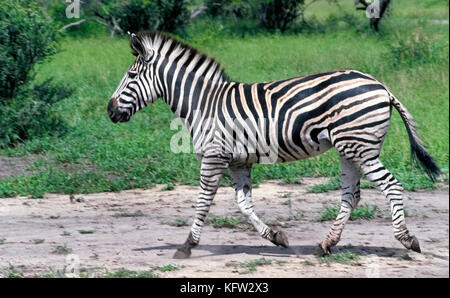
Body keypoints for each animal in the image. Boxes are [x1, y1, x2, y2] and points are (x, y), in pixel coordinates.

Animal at [108, 30, 440, 258]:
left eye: (131, 76)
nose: (110, 111)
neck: (203, 103)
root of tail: (381, 86)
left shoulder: (214, 156)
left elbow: (203, 201)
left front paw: (187, 245)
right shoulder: (238, 161)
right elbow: (243, 204)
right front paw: (276, 237)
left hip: (361, 148)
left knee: (391, 185)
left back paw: (407, 240)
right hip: (350, 149)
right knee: (351, 196)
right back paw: (325, 244)